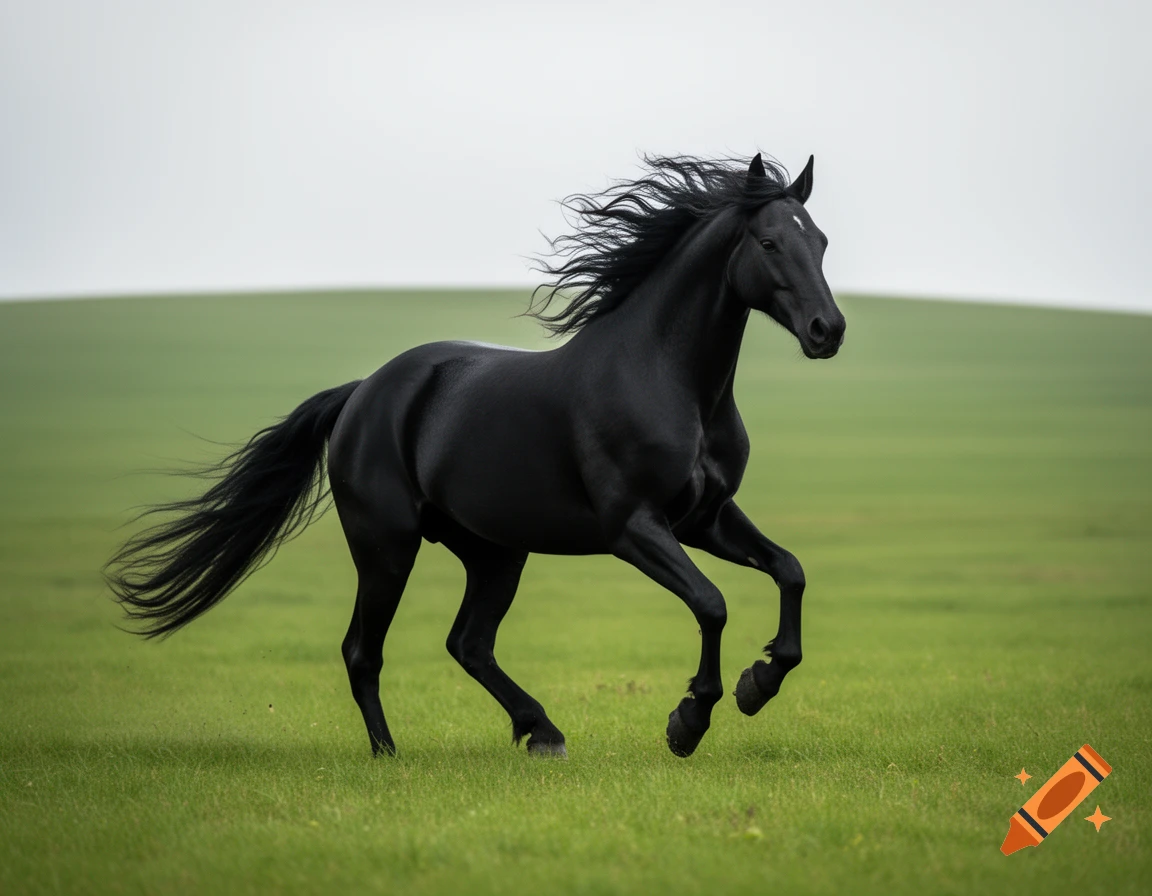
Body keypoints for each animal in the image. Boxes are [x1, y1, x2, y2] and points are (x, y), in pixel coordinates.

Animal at [107, 153, 846, 759]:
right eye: (770, 242)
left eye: (821, 241)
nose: (828, 331)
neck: (670, 380)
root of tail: (362, 394)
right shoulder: (634, 527)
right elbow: (712, 603)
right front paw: (690, 720)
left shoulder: (706, 518)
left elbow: (791, 570)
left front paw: (760, 682)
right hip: (387, 545)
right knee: (363, 651)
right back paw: (390, 754)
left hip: (494, 551)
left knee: (468, 643)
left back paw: (540, 731)